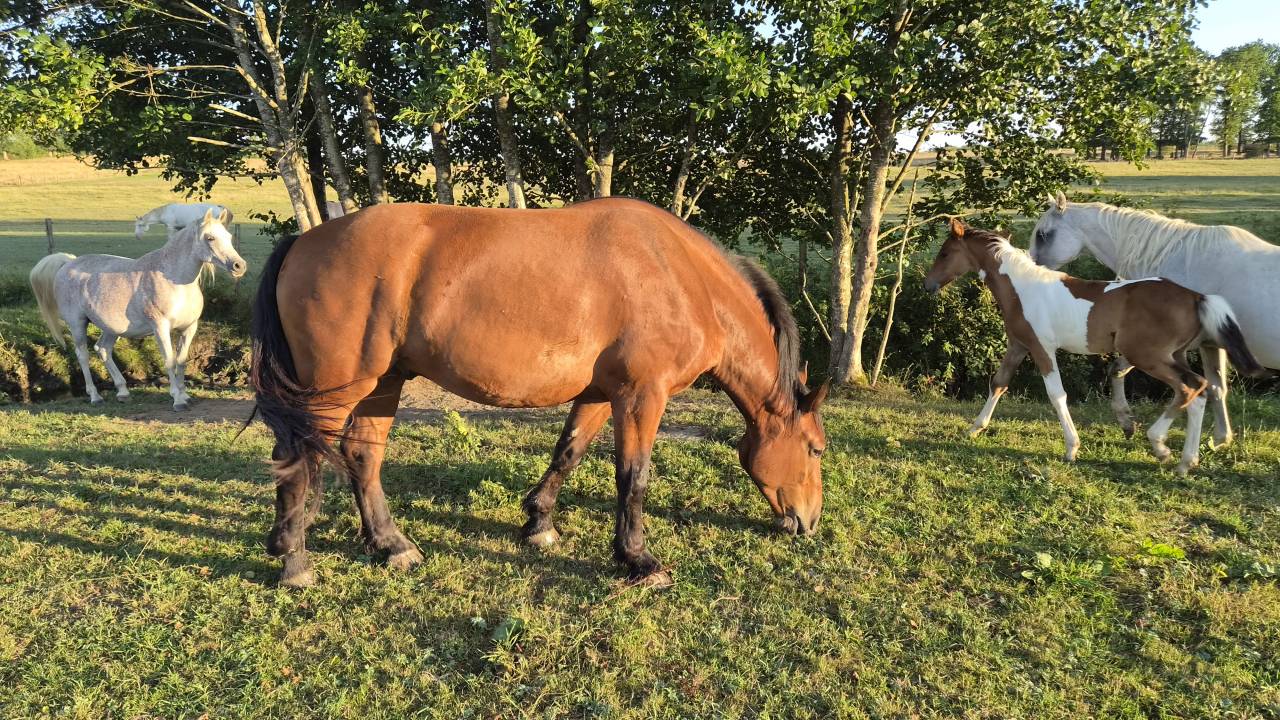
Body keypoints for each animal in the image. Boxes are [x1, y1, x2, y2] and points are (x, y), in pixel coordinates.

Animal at [30, 209, 247, 410]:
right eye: (210, 237)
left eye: (228, 237)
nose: (239, 266)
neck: (174, 279)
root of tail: (67, 262)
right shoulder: (160, 328)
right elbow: (169, 360)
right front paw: (177, 400)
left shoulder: (189, 328)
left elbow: (181, 361)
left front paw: (185, 395)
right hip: (77, 324)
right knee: (82, 355)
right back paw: (95, 396)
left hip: (111, 329)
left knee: (103, 349)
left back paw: (123, 392)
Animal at [249, 198, 829, 588]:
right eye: (816, 450)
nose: (808, 523)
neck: (679, 277)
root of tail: (304, 240)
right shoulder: (642, 395)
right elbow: (633, 477)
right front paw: (637, 559)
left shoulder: (600, 393)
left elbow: (568, 452)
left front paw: (539, 523)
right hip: (334, 389)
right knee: (298, 460)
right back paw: (295, 561)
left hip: (383, 383)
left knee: (361, 456)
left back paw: (391, 545)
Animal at [925, 218, 1264, 475]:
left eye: (945, 253)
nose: (929, 285)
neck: (1022, 289)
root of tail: (1197, 297)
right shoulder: (1019, 345)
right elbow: (999, 382)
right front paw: (975, 428)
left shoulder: (1042, 348)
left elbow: (1057, 394)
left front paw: (1071, 448)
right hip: (1174, 355)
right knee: (1200, 391)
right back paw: (1185, 461)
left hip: (1149, 356)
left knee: (1190, 387)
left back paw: (1160, 445)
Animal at [1030, 191, 1280, 448]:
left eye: (1042, 235)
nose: (1030, 266)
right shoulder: (1209, 345)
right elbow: (1216, 387)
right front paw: (1220, 440)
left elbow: (1120, 369)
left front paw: (1128, 423)